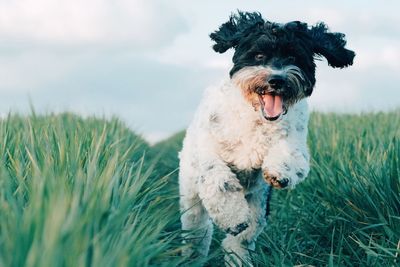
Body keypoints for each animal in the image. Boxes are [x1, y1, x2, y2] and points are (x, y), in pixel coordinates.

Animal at [178, 11, 354, 266]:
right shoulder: (208, 150)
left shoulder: (293, 140)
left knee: (240, 241)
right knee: (197, 232)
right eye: (259, 55)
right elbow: (218, 179)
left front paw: (279, 173)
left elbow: (290, 156)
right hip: (191, 198)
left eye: (293, 56)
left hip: (258, 204)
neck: (255, 119)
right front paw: (232, 217)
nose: (277, 80)